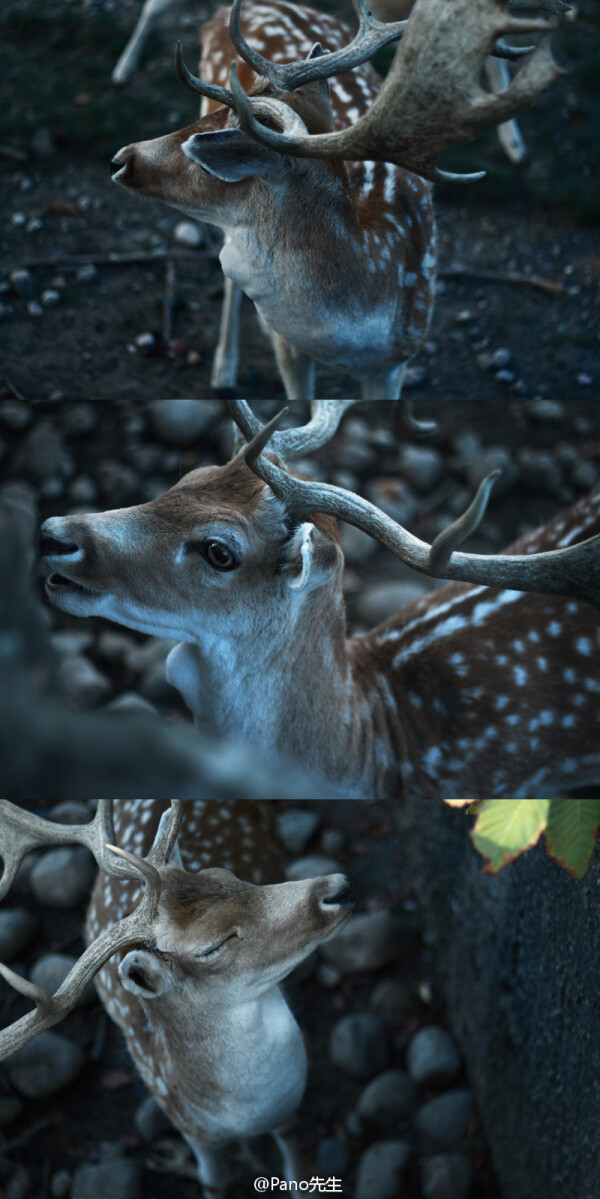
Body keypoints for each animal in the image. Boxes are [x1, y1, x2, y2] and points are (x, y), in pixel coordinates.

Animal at [0, 800, 352, 1194]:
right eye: (211, 947)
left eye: (228, 874)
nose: (337, 888)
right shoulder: (186, 1125)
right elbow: (213, 1181)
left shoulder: (286, 1117)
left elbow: (294, 1169)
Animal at [110, 0, 564, 402]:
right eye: (205, 120)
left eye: (207, 155)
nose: (122, 158)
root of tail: (221, 15)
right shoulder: (290, 348)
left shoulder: (398, 359)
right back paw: (224, 373)